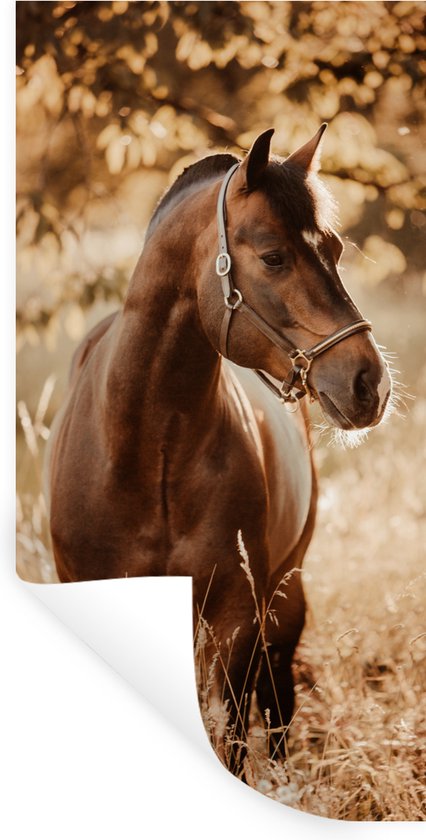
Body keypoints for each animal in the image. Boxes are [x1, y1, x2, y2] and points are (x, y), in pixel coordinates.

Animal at [46, 124, 391, 774]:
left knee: (276, 701)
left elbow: (230, 737)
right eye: (274, 256)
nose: (370, 384)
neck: (146, 453)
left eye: (334, 250)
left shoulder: (235, 618)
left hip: (282, 600)